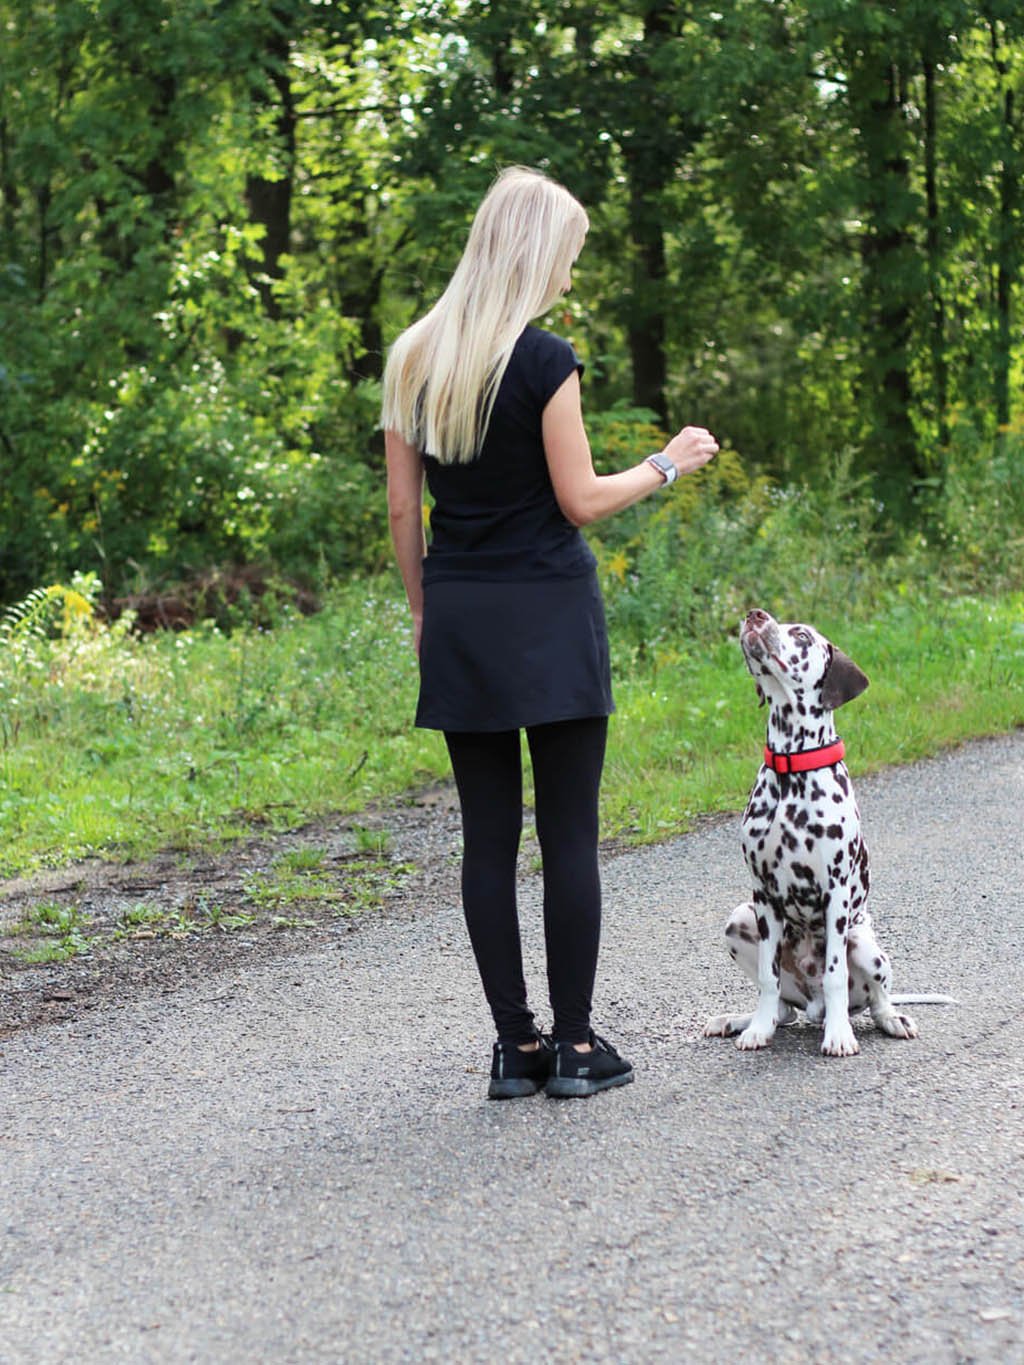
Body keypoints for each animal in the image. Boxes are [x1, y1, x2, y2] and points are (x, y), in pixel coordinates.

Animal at [704, 608, 922, 1053]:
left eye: (802, 635)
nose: (755, 614)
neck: (791, 770)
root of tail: (813, 1004)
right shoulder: (763, 895)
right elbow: (767, 978)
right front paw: (757, 1029)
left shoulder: (835, 893)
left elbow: (836, 974)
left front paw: (838, 1035)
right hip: (740, 918)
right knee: (783, 1009)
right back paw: (741, 1019)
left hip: (865, 944)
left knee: (876, 999)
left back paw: (889, 1018)